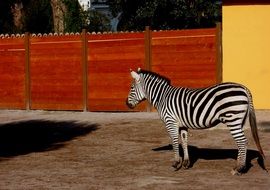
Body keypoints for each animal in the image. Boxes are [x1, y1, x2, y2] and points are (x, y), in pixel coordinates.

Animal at [126, 68, 266, 175]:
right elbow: (184, 141)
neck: (163, 97)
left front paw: (176, 163)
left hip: (233, 119)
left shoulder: (170, 121)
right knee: (243, 142)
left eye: (132, 88)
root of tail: (244, 88)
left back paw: (238, 169)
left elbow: (175, 141)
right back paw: (241, 167)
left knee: (242, 142)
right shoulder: (182, 125)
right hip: (239, 120)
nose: (126, 104)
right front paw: (186, 163)